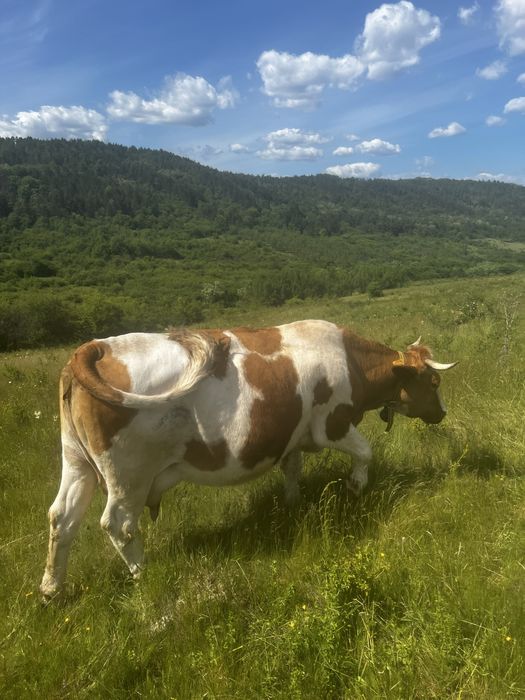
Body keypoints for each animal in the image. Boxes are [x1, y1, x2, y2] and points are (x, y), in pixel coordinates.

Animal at [40, 320, 456, 598]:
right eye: (434, 382)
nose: (441, 413)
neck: (352, 363)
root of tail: (94, 347)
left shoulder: (294, 437)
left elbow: (292, 469)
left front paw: (292, 503)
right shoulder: (332, 425)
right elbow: (365, 452)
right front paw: (356, 486)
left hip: (76, 461)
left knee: (62, 518)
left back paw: (51, 590)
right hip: (129, 474)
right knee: (119, 525)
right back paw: (143, 576)